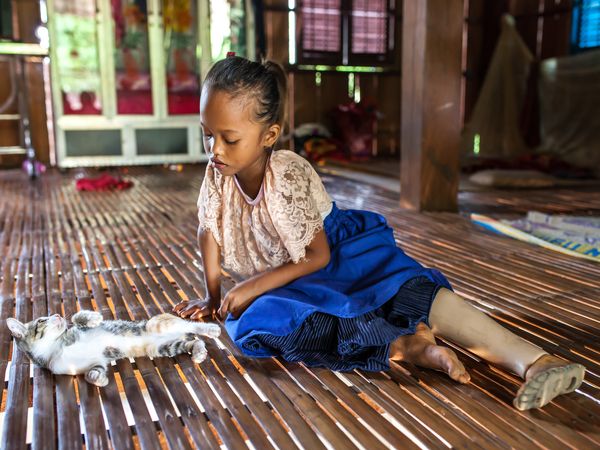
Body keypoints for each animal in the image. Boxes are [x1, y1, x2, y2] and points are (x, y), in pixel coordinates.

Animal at [5, 310, 220, 386]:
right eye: (42, 320)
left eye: (50, 315)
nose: (57, 315)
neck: (56, 347)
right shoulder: (93, 362)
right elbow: (91, 373)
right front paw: (99, 380)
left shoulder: (78, 329)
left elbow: (77, 316)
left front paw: (93, 317)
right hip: (163, 347)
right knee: (193, 341)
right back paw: (199, 353)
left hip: (160, 325)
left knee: (190, 325)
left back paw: (211, 329)